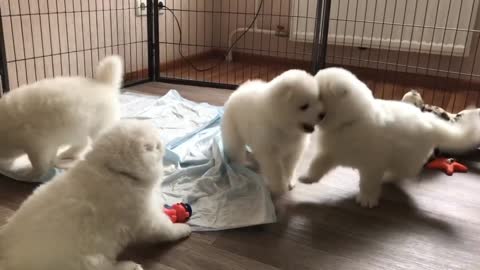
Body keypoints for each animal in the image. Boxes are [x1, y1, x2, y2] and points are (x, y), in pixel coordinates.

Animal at [0, 120, 191, 270]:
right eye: (156, 145)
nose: (163, 142)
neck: (115, 171)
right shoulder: (145, 218)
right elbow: (165, 229)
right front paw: (183, 229)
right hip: (89, 260)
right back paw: (130, 265)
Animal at [300, 67, 480, 207]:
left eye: (318, 95)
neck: (351, 121)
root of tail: (431, 122)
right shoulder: (330, 153)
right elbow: (317, 165)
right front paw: (307, 178)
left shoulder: (372, 165)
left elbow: (369, 182)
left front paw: (367, 199)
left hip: (406, 160)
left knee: (406, 172)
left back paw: (388, 177)